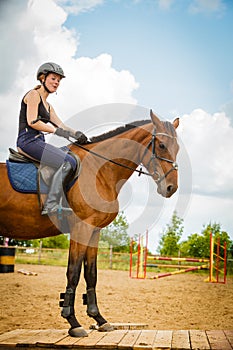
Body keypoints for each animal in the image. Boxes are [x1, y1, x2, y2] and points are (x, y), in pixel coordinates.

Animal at [0, 110, 180, 338]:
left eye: (178, 148)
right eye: (162, 146)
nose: (171, 187)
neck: (99, 170)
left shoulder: (94, 231)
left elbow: (91, 274)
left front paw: (99, 319)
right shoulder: (81, 229)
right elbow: (74, 273)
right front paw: (73, 322)